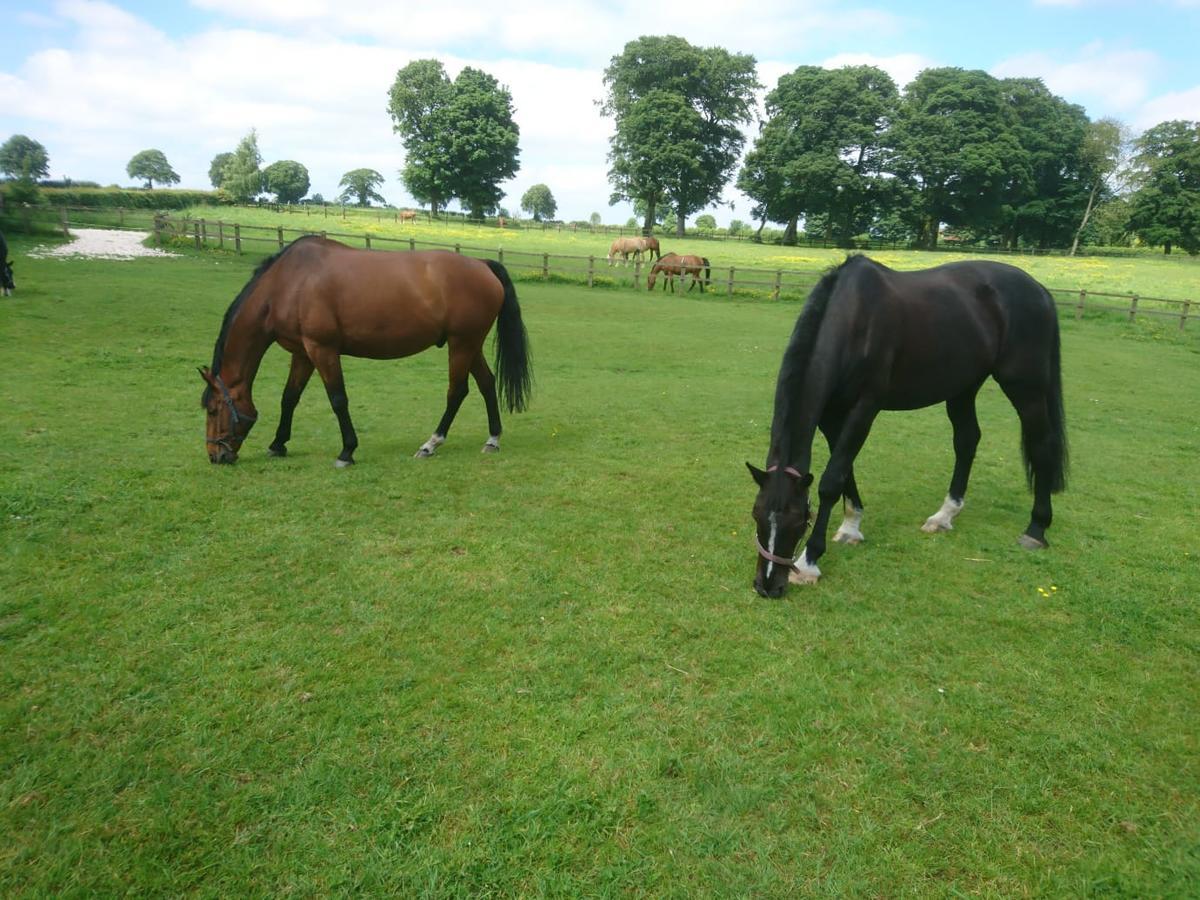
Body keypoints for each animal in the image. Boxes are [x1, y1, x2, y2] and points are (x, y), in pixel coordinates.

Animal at [200, 236, 530, 468]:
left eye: (213, 410)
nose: (215, 456)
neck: (289, 283)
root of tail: (482, 264)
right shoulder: (303, 353)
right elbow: (289, 397)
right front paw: (278, 444)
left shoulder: (322, 349)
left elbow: (338, 399)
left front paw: (347, 451)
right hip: (469, 344)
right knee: (486, 383)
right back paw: (492, 439)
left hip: (462, 343)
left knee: (457, 391)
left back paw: (430, 444)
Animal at [748, 254, 1070, 600]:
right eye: (756, 514)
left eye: (799, 520)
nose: (767, 586)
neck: (854, 319)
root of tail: (1039, 289)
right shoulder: (832, 415)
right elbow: (845, 471)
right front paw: (851, 527)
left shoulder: (865, 408)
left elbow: (831, 481)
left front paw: (809, 562)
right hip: (963, 386)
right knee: (967, 440)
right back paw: (945, 515)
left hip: (1026, 387)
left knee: (1041, 445)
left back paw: (1036, 529)